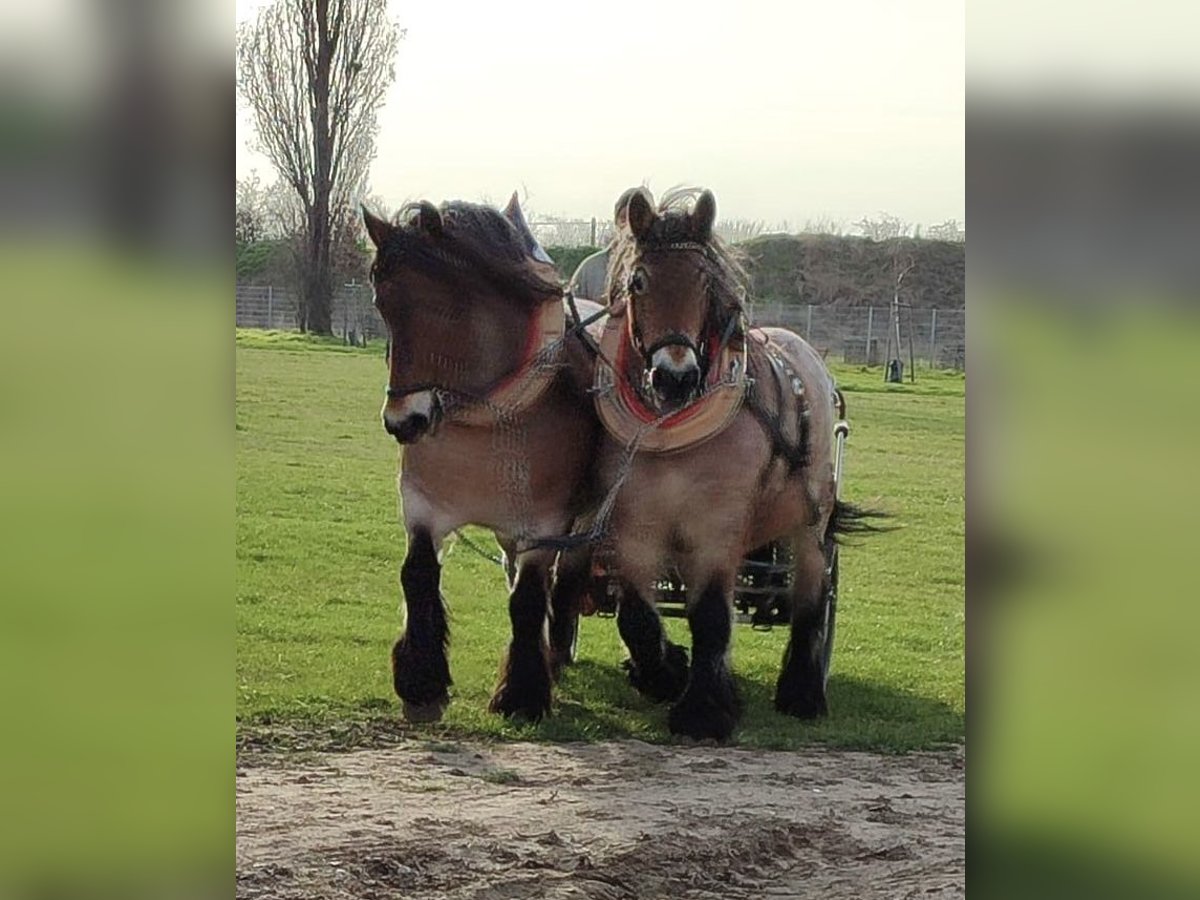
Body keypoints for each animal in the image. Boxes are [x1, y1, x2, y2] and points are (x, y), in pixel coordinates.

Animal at [357, 194, 597, 724]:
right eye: (382, 305)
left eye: (443, 306)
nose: (403, 422)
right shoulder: (421, 505)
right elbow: (417, 574)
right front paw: (421, 678)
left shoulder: (544, 523)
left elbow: (528, 597)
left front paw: (521, 693)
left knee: (562, 581)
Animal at [595, 187, 878, 744]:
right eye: (638, 281)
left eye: (706, 282)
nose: (675, 377)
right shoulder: (634, 528)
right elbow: (635, 615)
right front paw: (664, 672)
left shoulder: (716, 528)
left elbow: (710, 617)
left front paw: (704, 710)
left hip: (810, 523)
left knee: (811, 597)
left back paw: (802, 691)